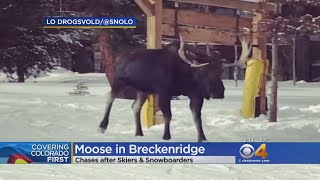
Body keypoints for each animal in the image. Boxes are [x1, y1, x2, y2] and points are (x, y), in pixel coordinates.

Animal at [98, 34, 252, 142]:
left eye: (220, 71)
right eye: (204, 72)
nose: (219, 92)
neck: (185, 77)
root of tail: (118, 58)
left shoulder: (195, 94)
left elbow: (197, 118)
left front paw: (202, 138)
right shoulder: (163, 92)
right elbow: (168, 115)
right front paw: (166, 136)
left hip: (143, 90)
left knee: (135, 106)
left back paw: (139, 132)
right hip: (119, 81)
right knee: (109, 97)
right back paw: (102, 126)